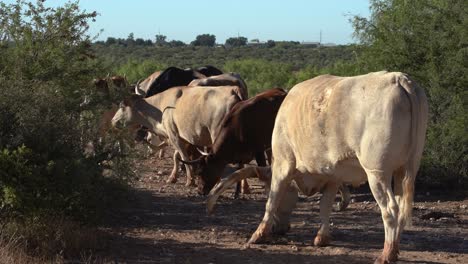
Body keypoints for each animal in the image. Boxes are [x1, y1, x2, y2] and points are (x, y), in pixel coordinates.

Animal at [239, 72, 426, 264]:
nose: (280, 229)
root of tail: (398, 78)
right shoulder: (334, 176)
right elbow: (325, 205)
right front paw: (322, 237)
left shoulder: (282, 165)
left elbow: (272, 200)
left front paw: (259, 233)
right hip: (406, 169)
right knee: (402, 208)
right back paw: (394, 250)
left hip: (377, 174)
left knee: (390, 210)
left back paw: (387, 253)